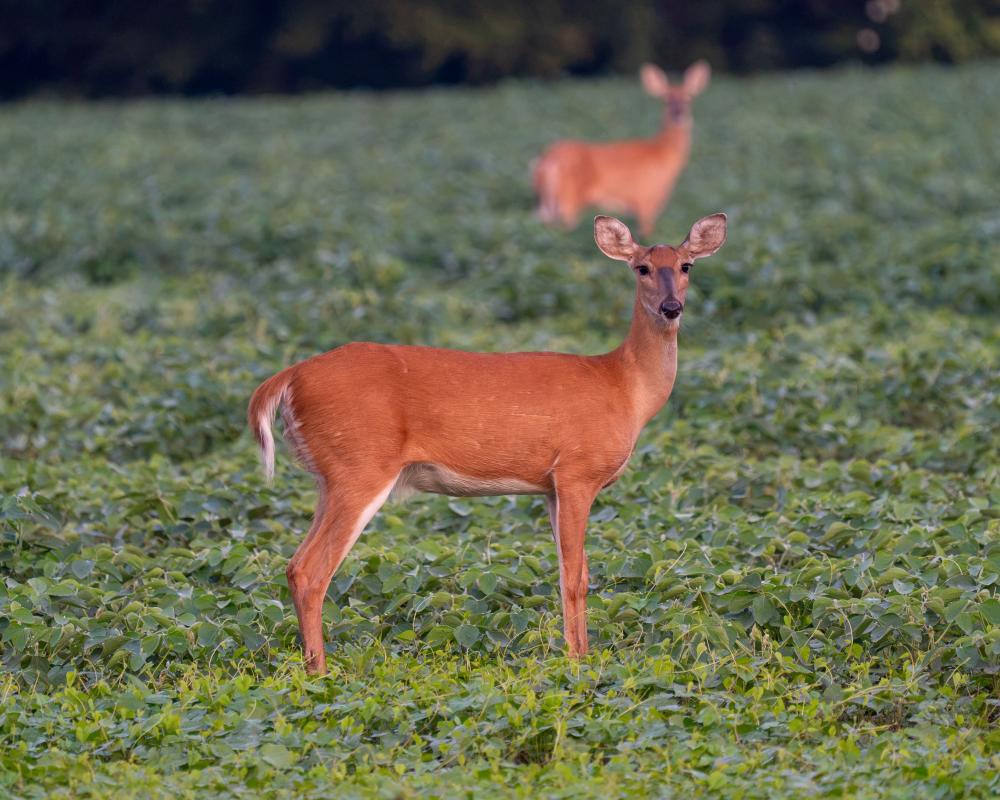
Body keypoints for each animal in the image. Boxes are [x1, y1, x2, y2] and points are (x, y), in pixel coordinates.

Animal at [248, 212, 727, 674]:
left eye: (686, 266)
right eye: (641, 267)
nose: (671, 307)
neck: (625, 386)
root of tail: (288, 377)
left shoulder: (550, 487)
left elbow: (570, 573)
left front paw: (577, 652)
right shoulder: (578, 472)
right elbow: (575, 576)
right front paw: (579, 662)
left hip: (330, 476)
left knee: (294, 565)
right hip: (360, 466)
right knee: (311, 570)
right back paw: (321, 673)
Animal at [533, 61, 711, 237]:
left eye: (689, 98)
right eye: (666, 99)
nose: (679, 114)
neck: (662, 153)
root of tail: (548, 160)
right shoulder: (646, 199)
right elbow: (646, 234)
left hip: (546, 202)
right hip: (569, 199)